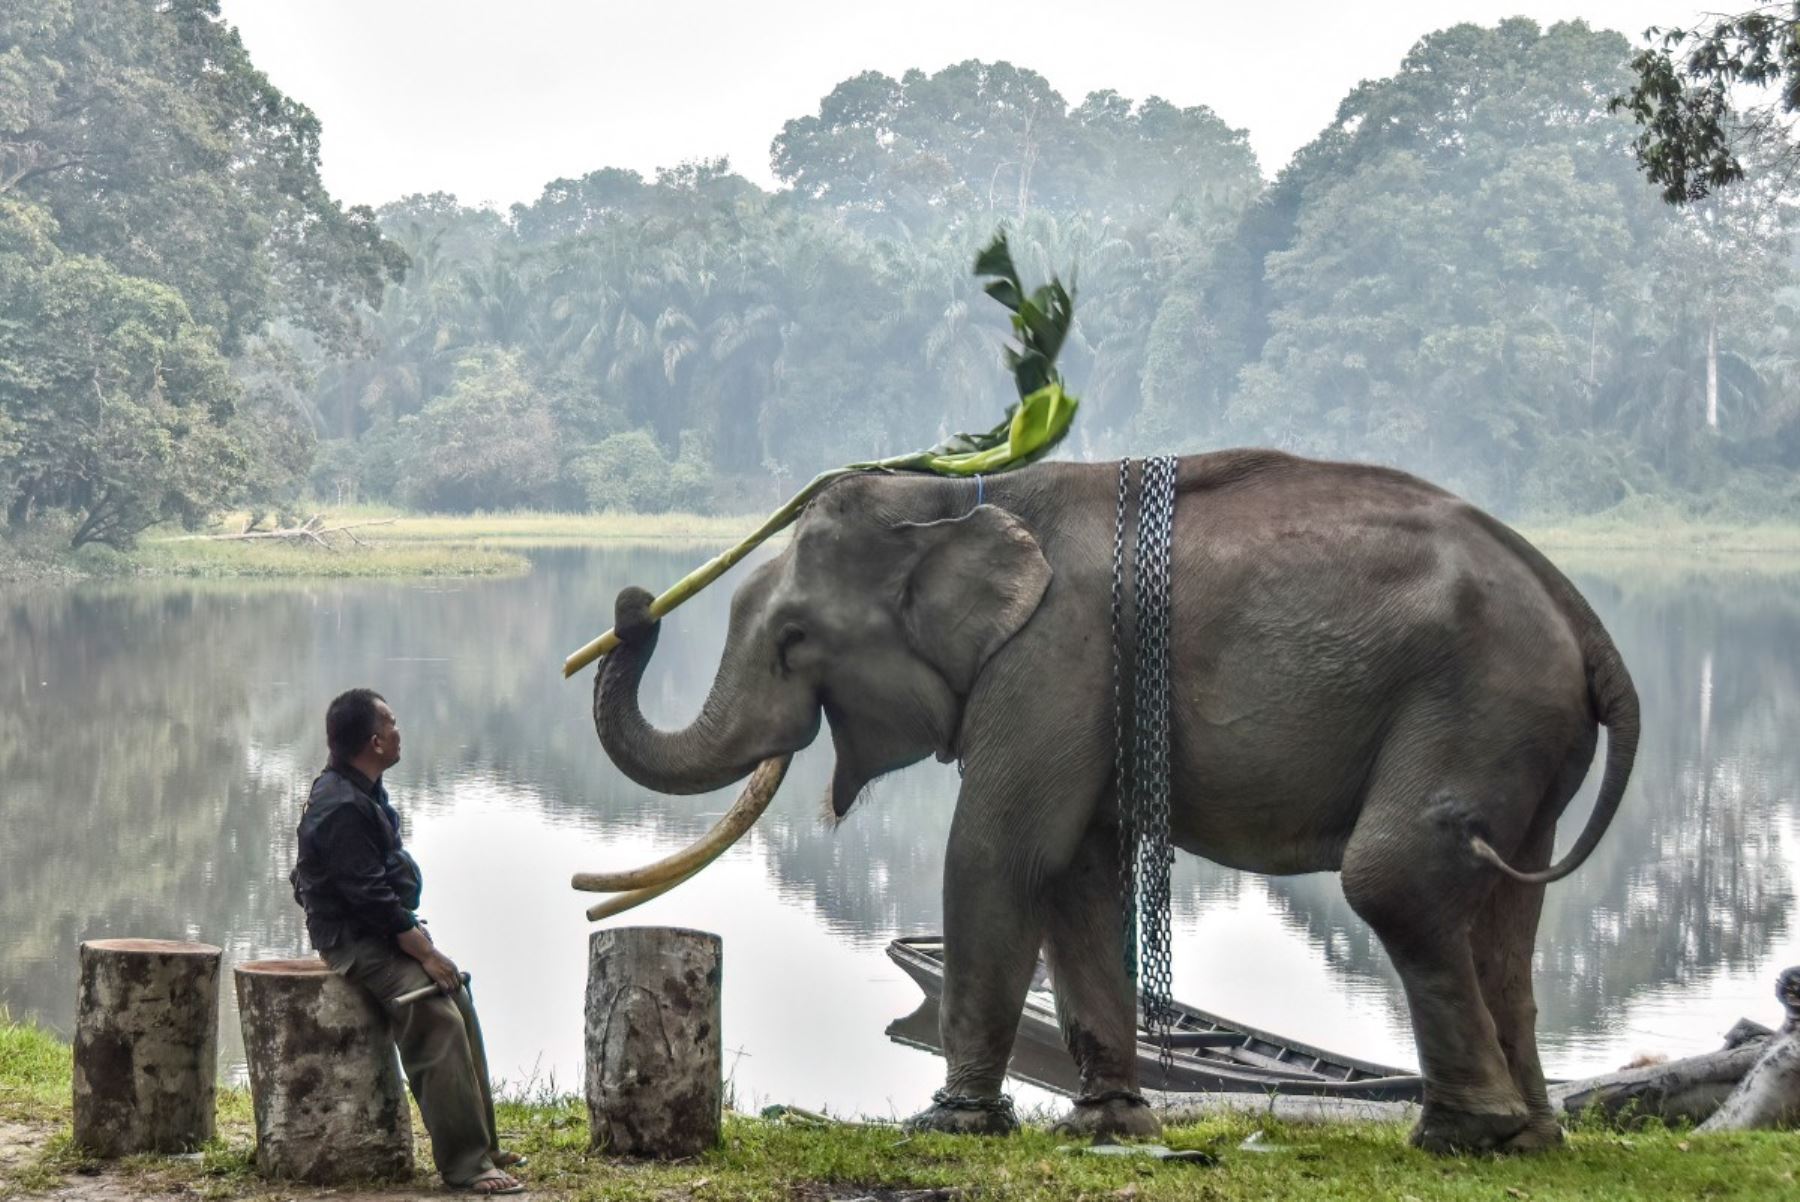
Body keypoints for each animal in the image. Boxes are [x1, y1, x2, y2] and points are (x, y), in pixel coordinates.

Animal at [589, 448, 1639, 1154]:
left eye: (795, 638)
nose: (633, 606)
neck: (968, 499)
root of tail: (1586, 620)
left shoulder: (1056, 655)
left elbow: (999, 851)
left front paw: (952, 1125)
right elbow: (1078, 871)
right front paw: (1107, 1124)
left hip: (1475, 705)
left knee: (1396, 877)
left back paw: (1464, 1136)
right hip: (1525, 745)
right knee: (1504, 913)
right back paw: (1535, 1137)